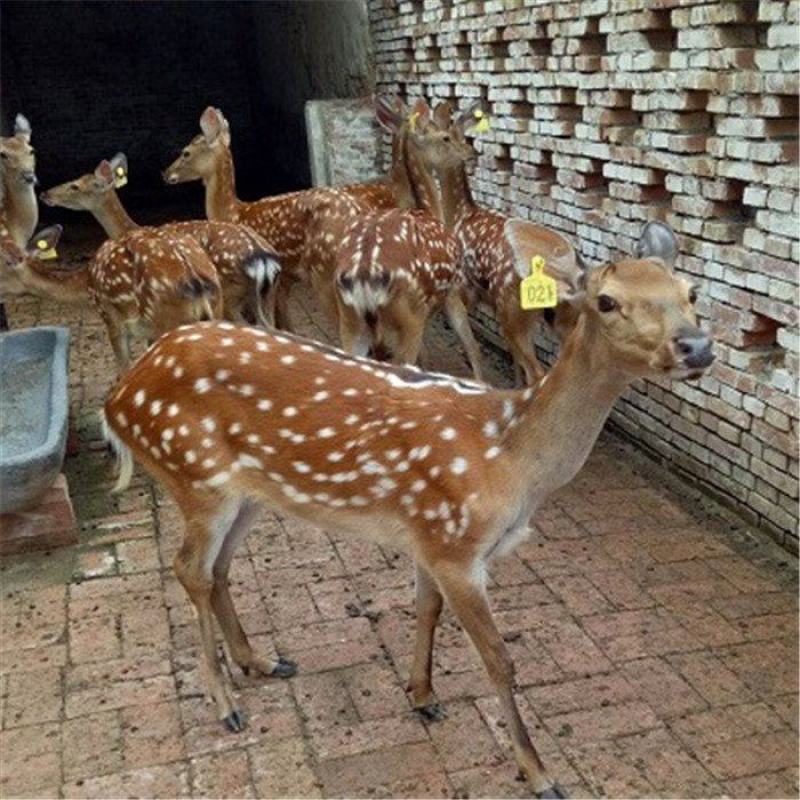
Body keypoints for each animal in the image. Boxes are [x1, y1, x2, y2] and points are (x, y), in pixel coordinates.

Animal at [3, 223, 223, 371]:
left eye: (4, 263)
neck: (86, 284)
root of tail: (192, 273)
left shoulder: (110, 317)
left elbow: (124, 368)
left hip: (167, 317)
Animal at [40, 155, 281, 327]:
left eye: (75, 186)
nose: (45, 194)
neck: (129, 229)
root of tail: (262, 257)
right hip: (266, 296)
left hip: (231, 295)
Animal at [101, 220, 713, 799]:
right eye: (606, 301)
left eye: (690, 291)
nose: (698, 347)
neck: (510, 458)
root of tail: (118, 397)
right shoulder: (457, 546)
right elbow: (498, 658)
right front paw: (539, 773)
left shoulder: (428, 532)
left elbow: (425, 610)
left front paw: (420, 693)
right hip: (193, 474)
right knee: (189, 569)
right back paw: (225, 702)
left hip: (248, 491)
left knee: (218, 569)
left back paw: (262, 661)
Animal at [430, 101, 583, 385]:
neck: (460, 214)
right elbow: (511, 359)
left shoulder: (462, 289)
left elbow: (471, 345)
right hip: (562, 316)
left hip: (512, 307)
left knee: (538, 371)